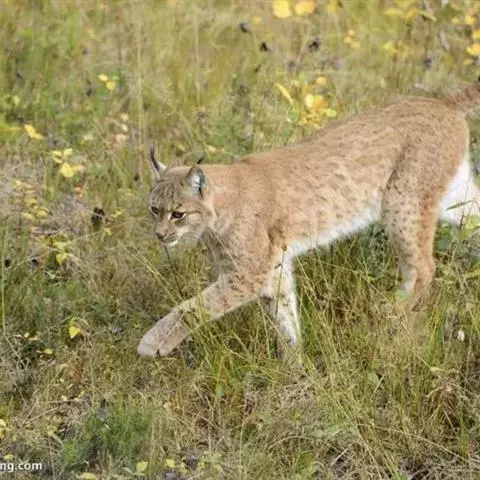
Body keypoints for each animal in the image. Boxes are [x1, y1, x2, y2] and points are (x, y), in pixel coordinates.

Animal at [137, 81, 480, 358]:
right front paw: (295, 363)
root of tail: (440, 102)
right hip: (447, 200)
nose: (159, 235)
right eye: (154, 209)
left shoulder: (248, 274)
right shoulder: (273, 269)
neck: (216, 213)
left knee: (424, 268)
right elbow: (285, 314)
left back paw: (390, 312)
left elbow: (194, 308)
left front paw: (152, 343)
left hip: (401, 201)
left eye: (178, 214)